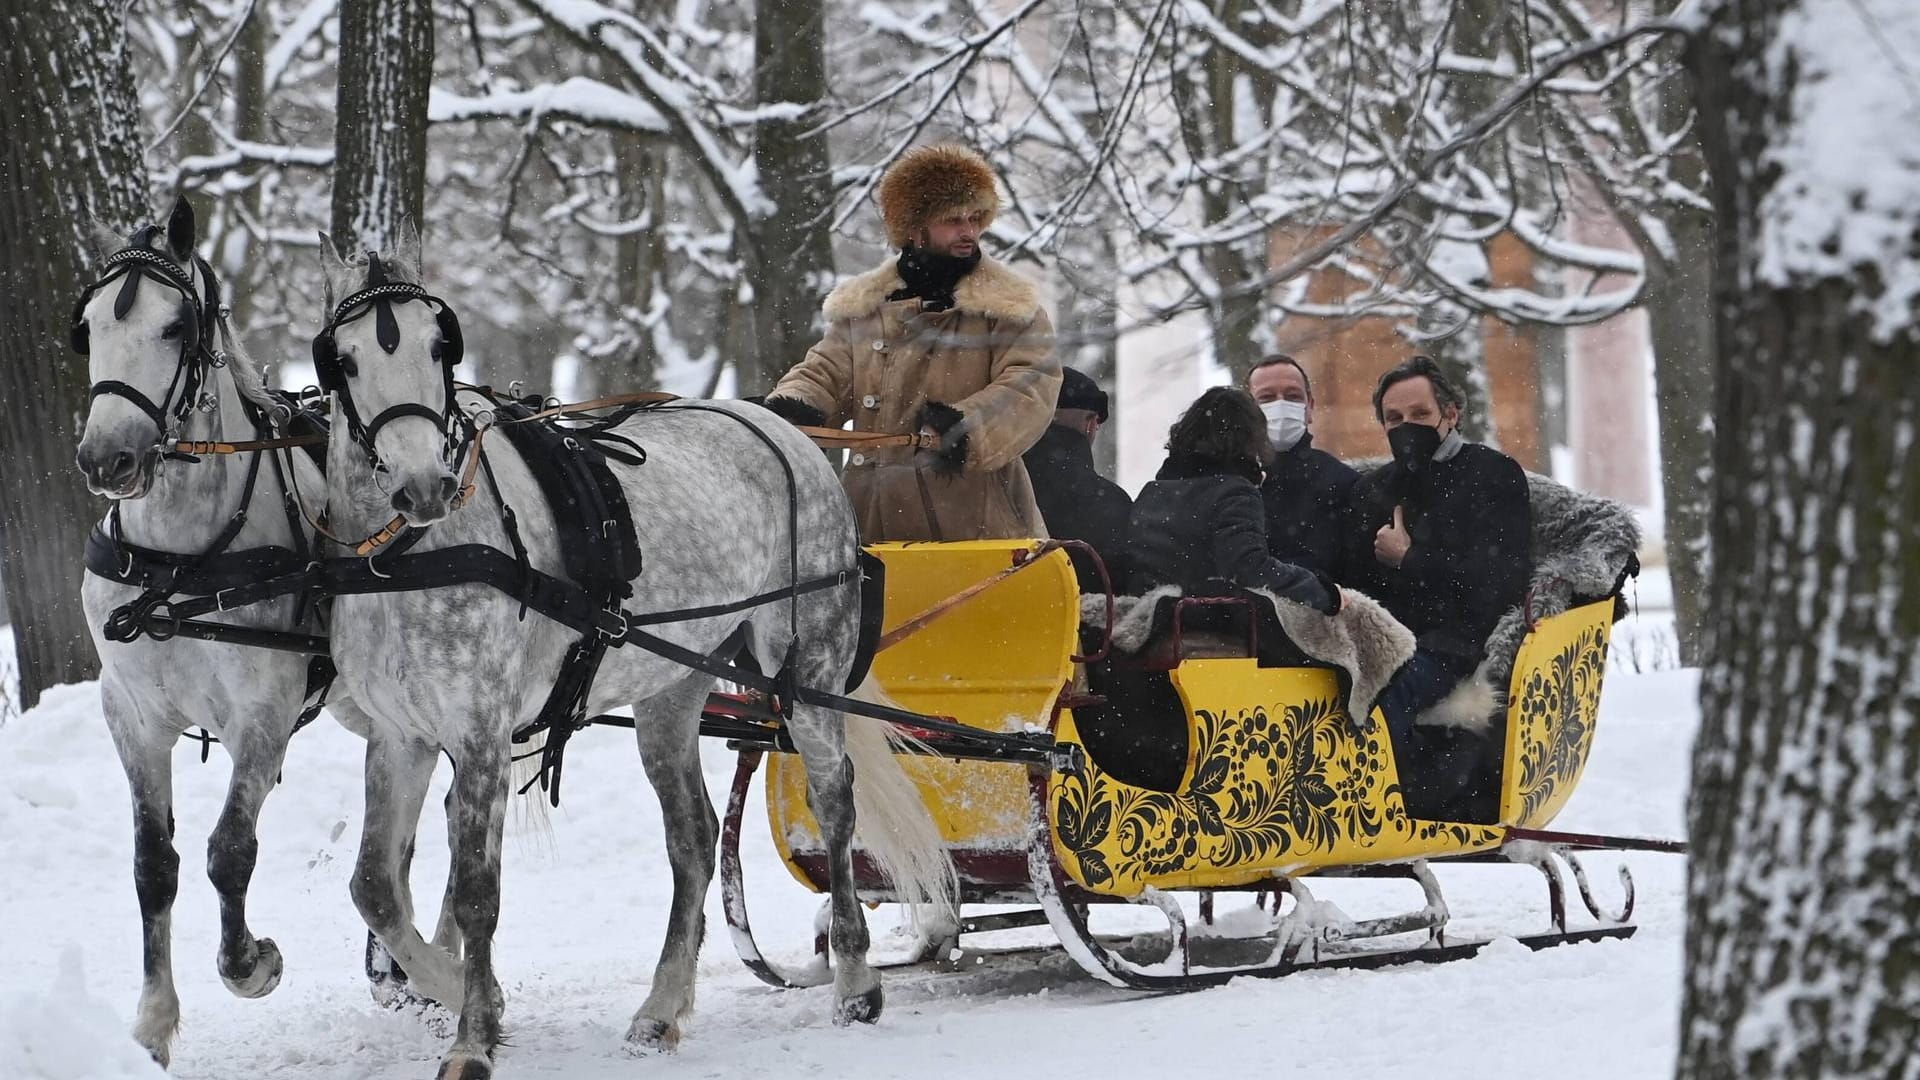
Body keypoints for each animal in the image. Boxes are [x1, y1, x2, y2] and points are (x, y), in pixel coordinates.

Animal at [316, 235, 960, 1076]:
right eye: (344, 360)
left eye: (437, 344)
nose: (426, 486)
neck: (417, 554)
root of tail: (782, 430)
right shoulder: (403, 735)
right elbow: (375, 887)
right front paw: (458, 994)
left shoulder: (481, 734)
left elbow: (477, 892)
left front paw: (474, 1031)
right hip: (673, 689)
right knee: (692, 838)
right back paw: (660, 1008)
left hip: (810, 666)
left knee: (835, 803)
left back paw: (854, 980)